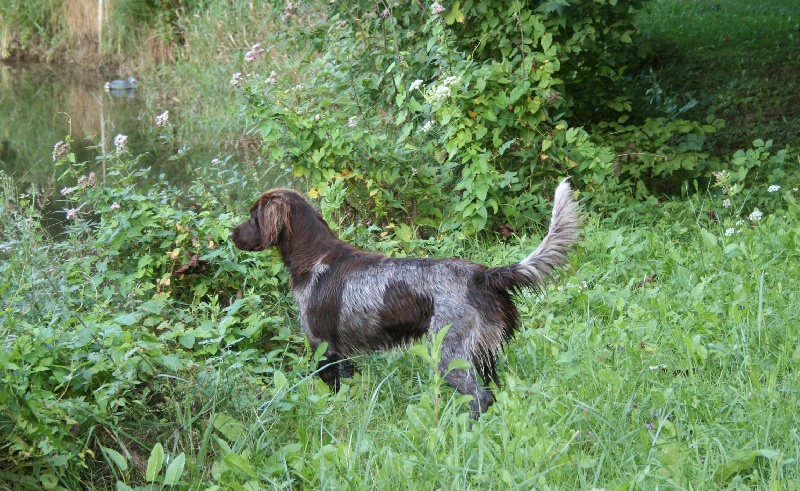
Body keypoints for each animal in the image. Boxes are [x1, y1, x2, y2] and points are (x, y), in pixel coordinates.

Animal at [228, 181, 580, 418]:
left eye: (253, 216)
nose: (231, 235)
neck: (313, 258)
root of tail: (483, 275)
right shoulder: (343, 354)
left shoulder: (321, 347)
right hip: (482, 354)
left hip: (448, 355)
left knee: (481, 398)